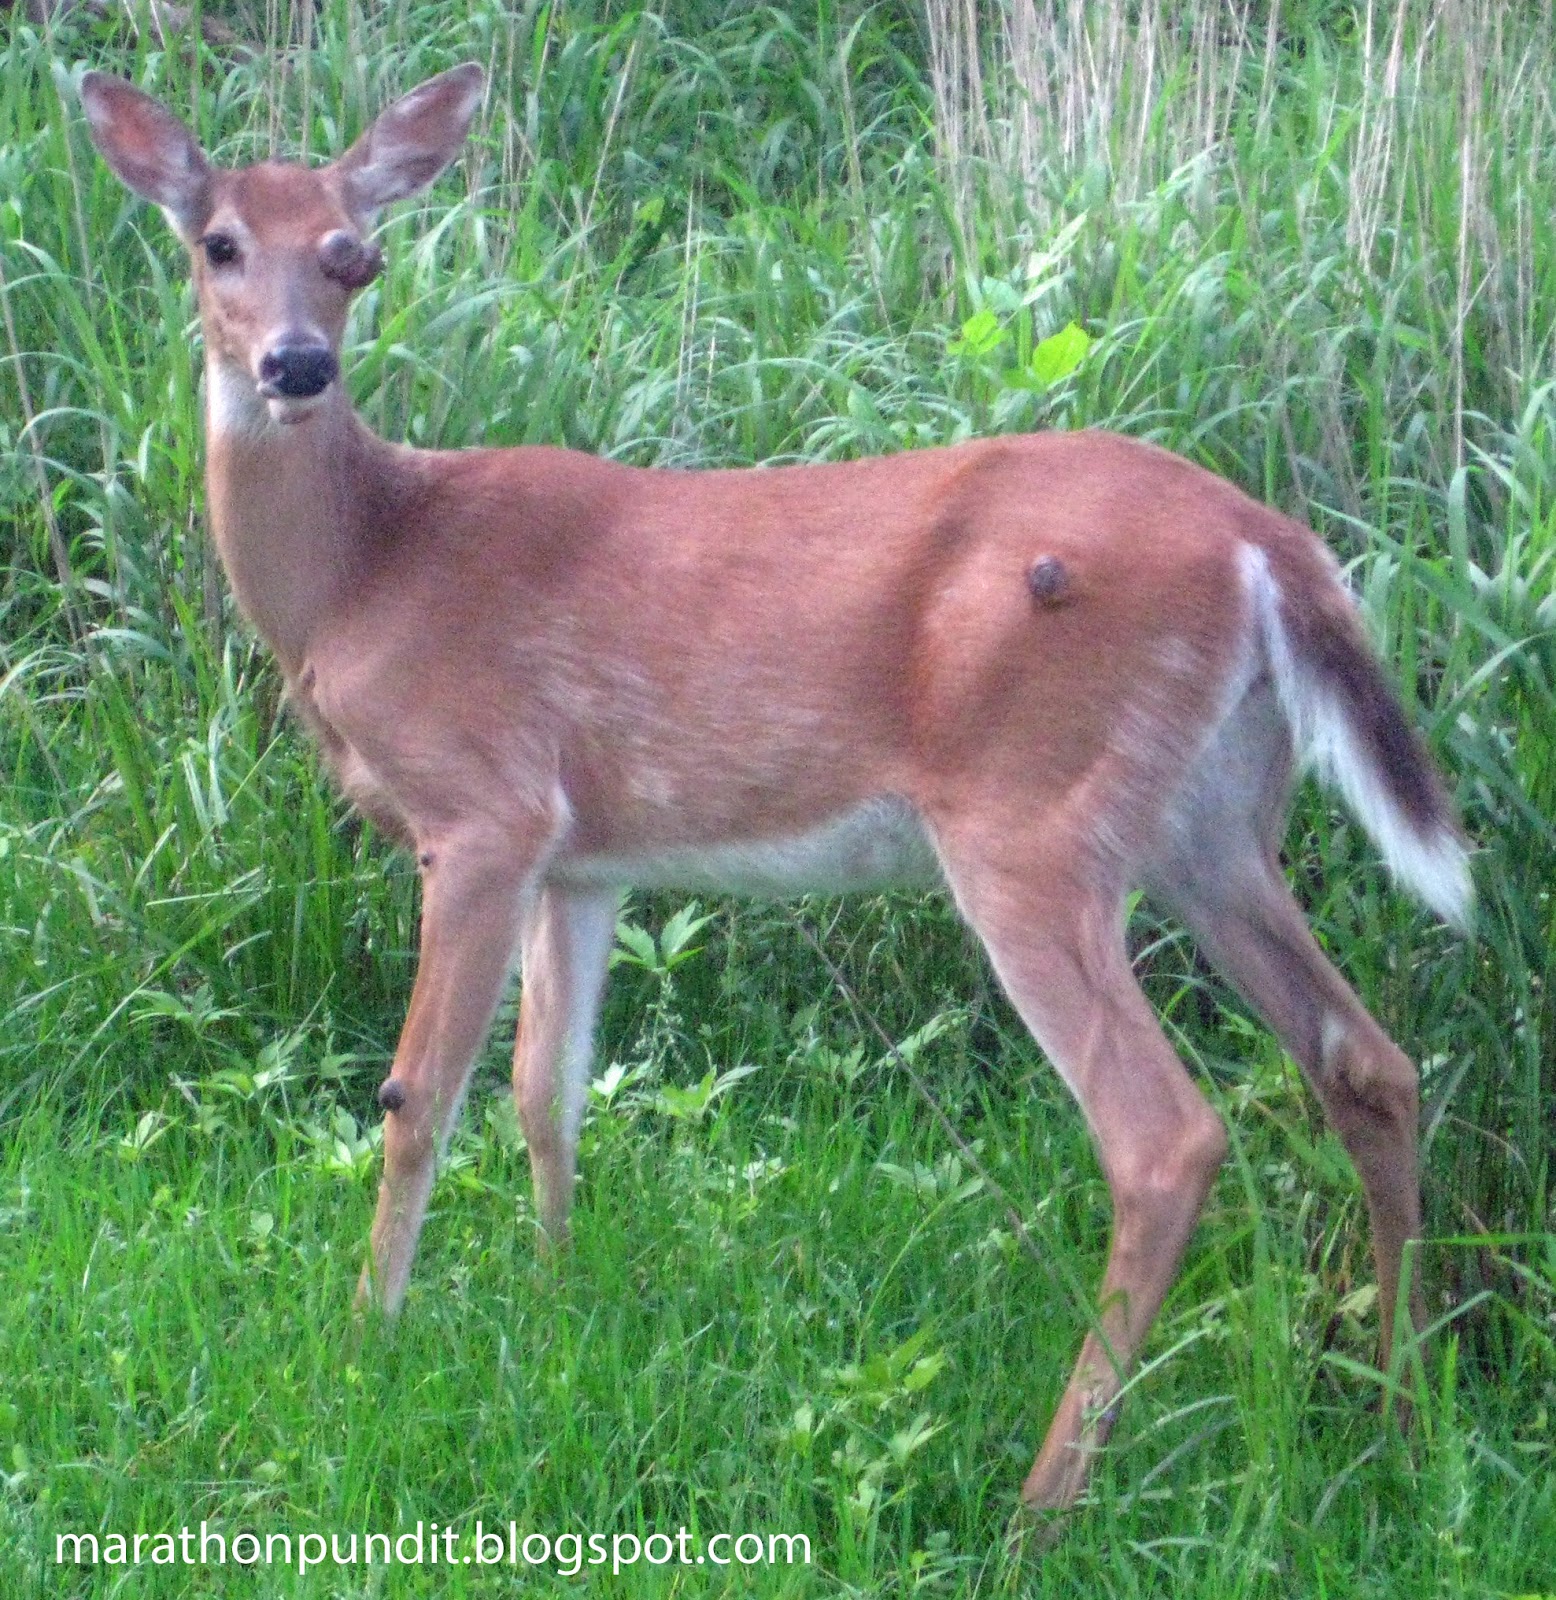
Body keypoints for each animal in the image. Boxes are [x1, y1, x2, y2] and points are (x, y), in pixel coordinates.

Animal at [78, 62, 1471, 1522]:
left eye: (355, 253)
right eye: (218, 243)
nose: (297, 363)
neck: (365, 572)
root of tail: (1266, 542)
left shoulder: (480, 811)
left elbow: (419, 1098)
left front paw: (369, 1344)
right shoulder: (582, 855)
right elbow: (545, 1086)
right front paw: (556, 1306)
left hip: (1029, 814)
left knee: (1163, 1137)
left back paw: (1041, 1505)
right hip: (1212, 819)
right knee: (1366, 1061)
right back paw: (1402, 1422)